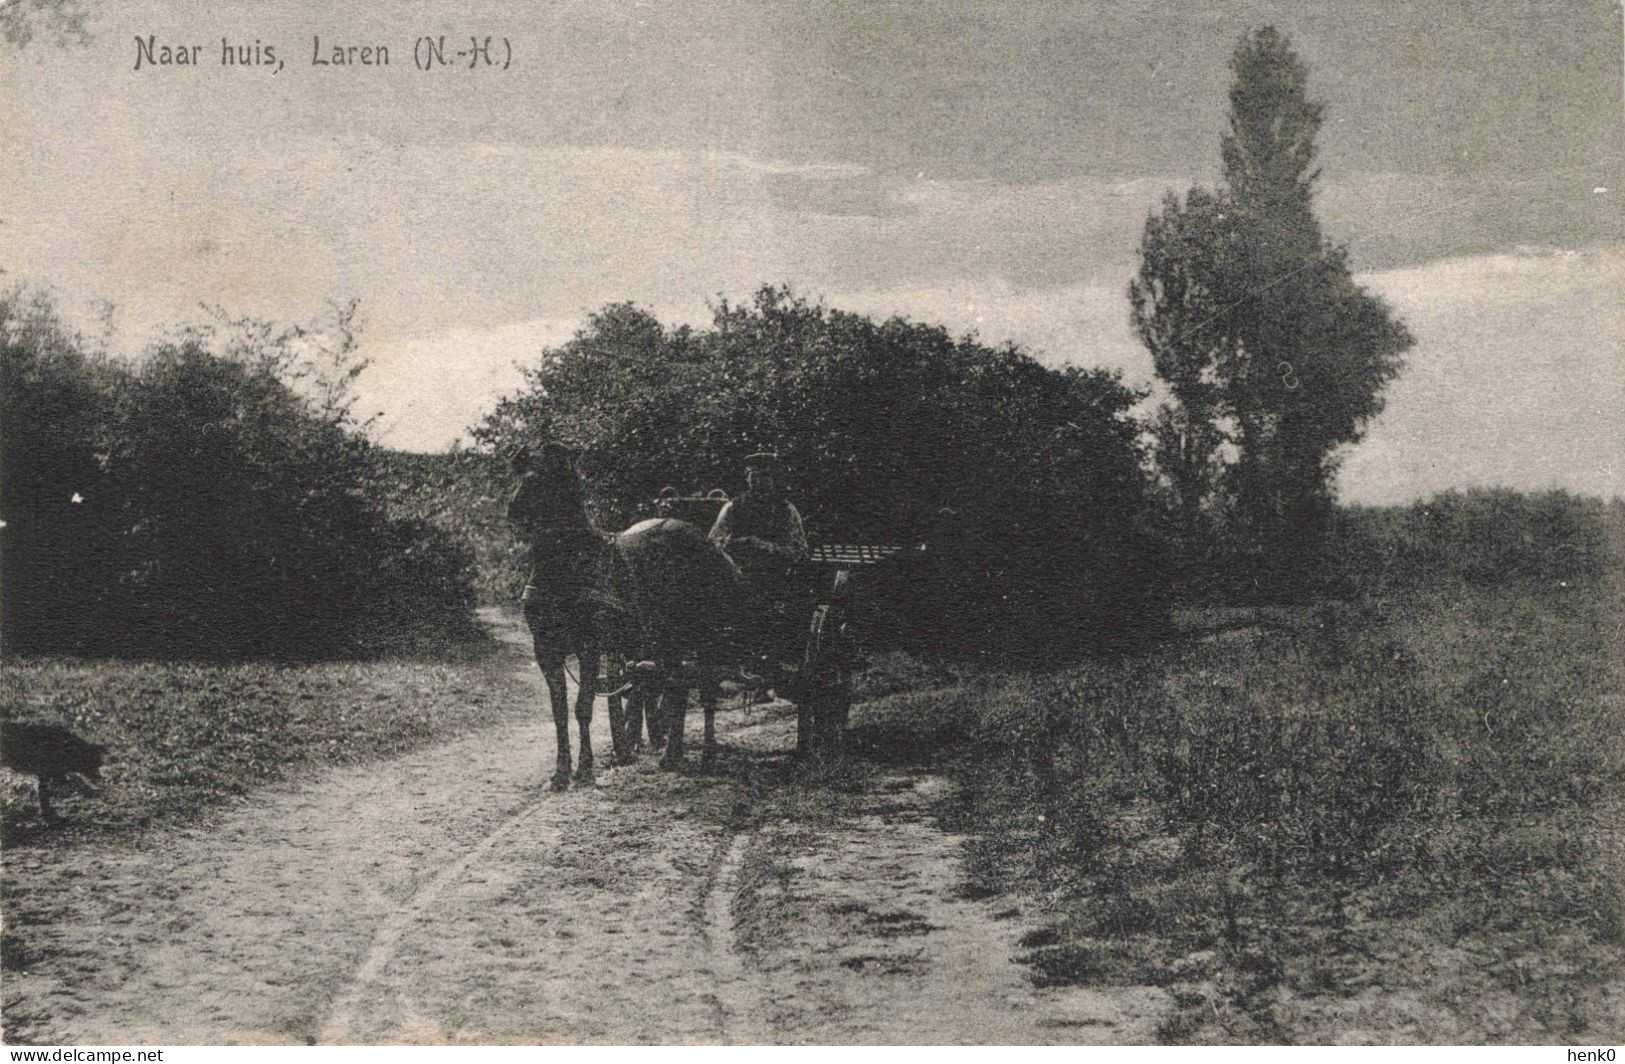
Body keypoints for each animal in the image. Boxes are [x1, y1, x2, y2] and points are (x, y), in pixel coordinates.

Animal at [507, 448, 744, 789]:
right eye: (522, 476)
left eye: (550, 479)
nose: (513, 510)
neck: (568, 566)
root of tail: (709, 544)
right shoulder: (546, 649)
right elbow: (559, 712)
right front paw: (561, 773)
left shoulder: (589, 647)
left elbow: (583, 707)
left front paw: (585, 770)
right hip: (668, 640)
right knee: (678, 688)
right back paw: (671, 755)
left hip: (703, 635)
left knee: (706, 688)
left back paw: (707, 756)